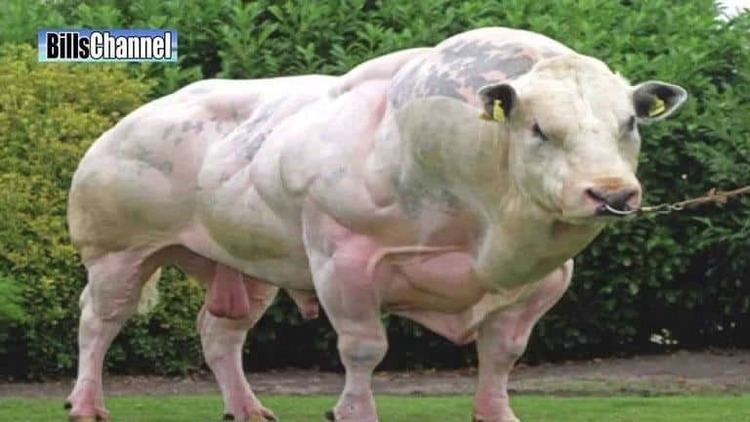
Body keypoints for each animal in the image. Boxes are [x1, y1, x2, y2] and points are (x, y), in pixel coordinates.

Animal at [67, 28, 692, 420]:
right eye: (539, 128)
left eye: (629, 124)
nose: (612, 193)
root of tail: (131, 119)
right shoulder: (343, 261)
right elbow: (365, 349)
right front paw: (352, 411)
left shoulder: (546, 281)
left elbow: (502, 354)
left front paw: (496, 412)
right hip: (116, 253)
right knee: (99, 322)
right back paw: (86, 404)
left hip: (249, 264)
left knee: (220, 333)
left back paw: (246, 408)